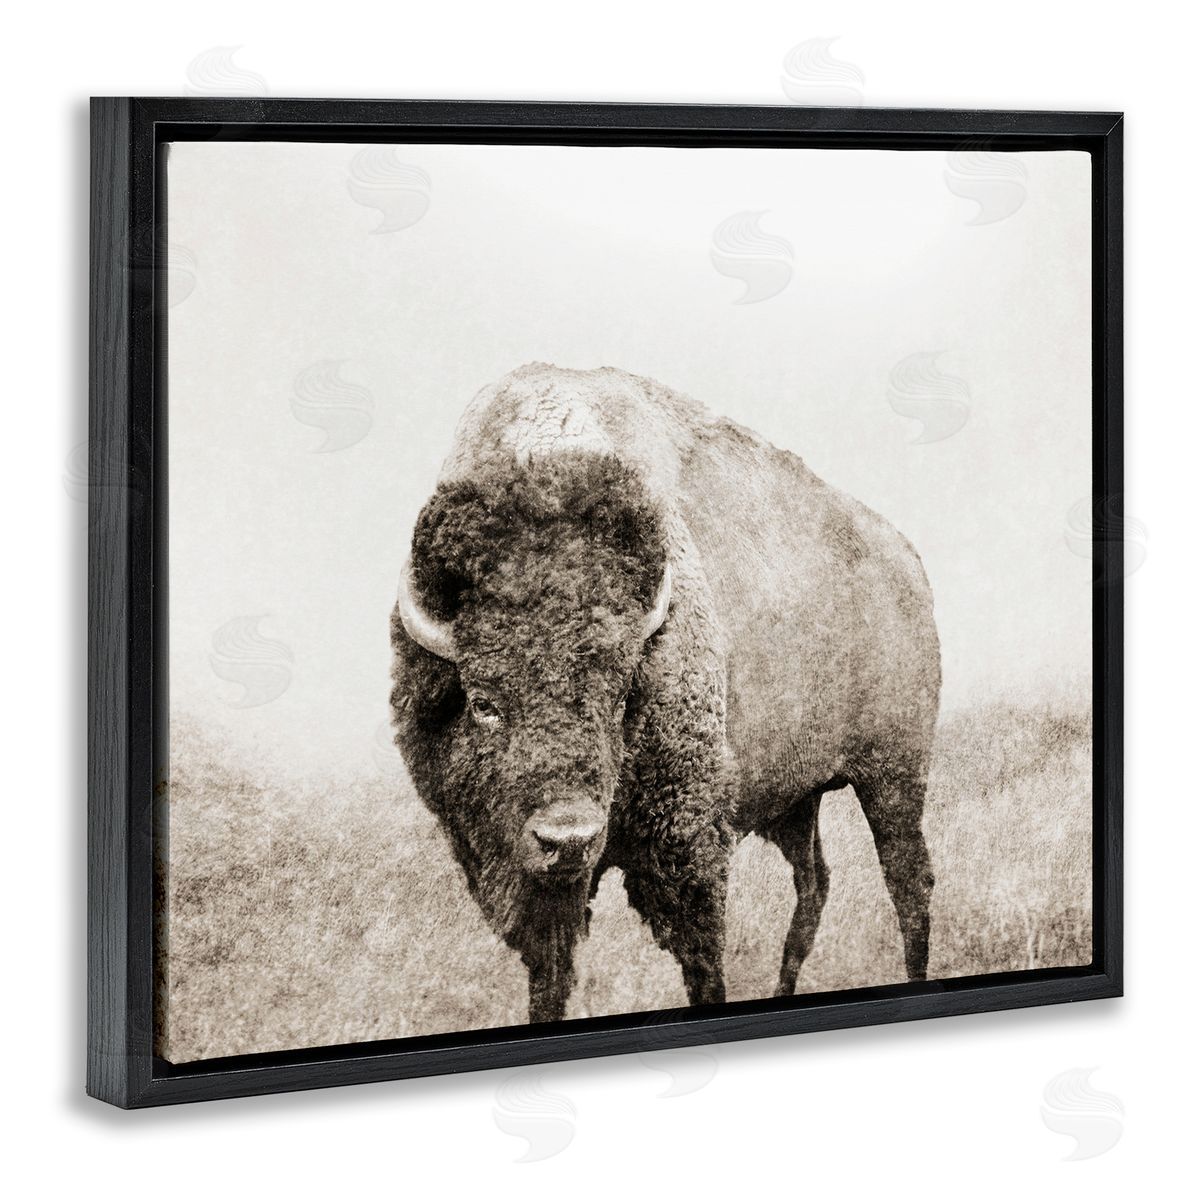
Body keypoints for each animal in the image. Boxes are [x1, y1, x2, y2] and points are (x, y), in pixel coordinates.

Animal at [390, 363, 940, 1023]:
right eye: (484, 704)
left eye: (620, 694)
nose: (568, 839)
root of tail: (907, 558)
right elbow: (549, 976)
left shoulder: (687, 847)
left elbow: (702, 960)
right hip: (797, 800)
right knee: (815, 884)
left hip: (893, 775)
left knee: (908, 882)